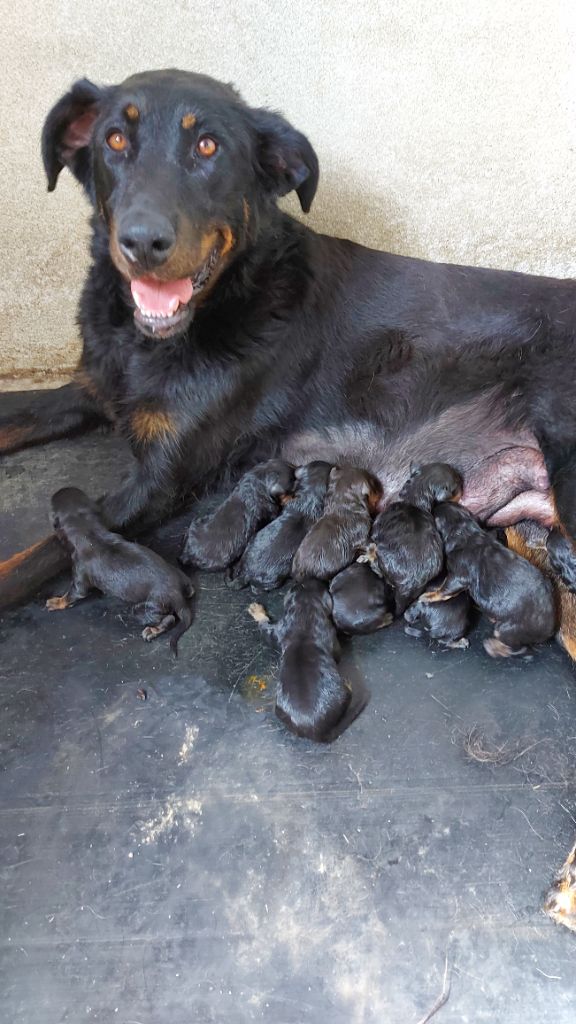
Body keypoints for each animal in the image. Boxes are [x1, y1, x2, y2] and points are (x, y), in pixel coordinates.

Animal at [47, 483, 194, 651]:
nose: (63, 488)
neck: (89, 534)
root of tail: (177, 594)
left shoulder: (79, 574)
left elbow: (72, 594)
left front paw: (56, 602)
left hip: (148, 606)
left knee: (169, 618)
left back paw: (152, 631)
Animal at [245, 581, 362, 741]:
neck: (305, 612)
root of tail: (316, 732)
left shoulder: (277, 631)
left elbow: (265, 629)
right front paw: (257, 610)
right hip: (343, 694)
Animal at [424, 501, 553, 659]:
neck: (464, 531)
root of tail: (549, 630)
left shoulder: (458, 576)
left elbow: (444, 590)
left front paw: (428, 596)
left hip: (509, 630)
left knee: (517, 648)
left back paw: (493, 647)